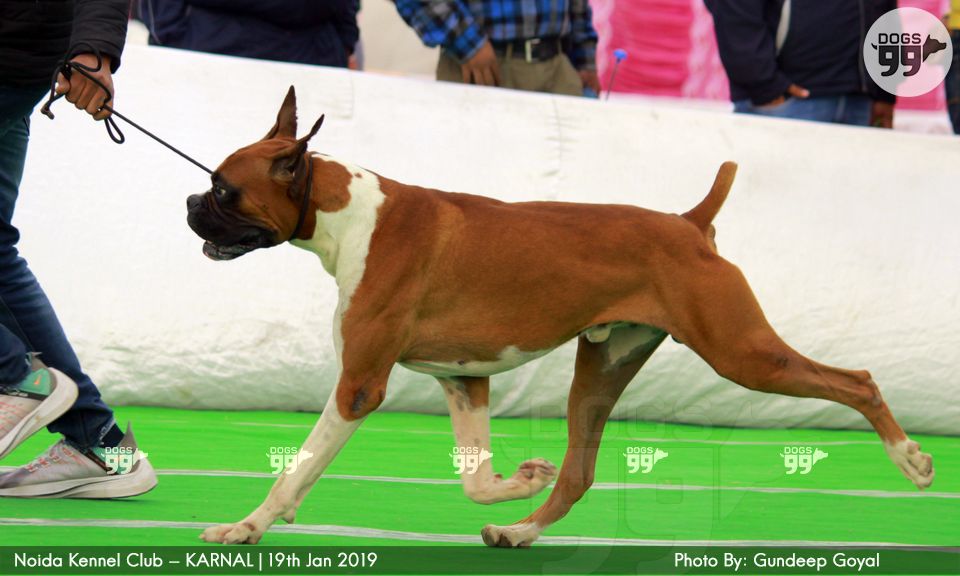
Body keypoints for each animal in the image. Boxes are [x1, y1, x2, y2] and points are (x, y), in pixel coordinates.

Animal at [185, 87, 934, 547]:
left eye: (225, 189)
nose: (190, 202)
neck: (349, 214)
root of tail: (688, 224)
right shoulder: (465, 380)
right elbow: (475, 479)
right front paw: (518, 482)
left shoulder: (360, 385)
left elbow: (301, 465)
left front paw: (247, 527)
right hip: (602, 370)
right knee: (579, 475)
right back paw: (521, 530)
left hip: (742, 353)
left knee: (856, 380)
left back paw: (912, 461)